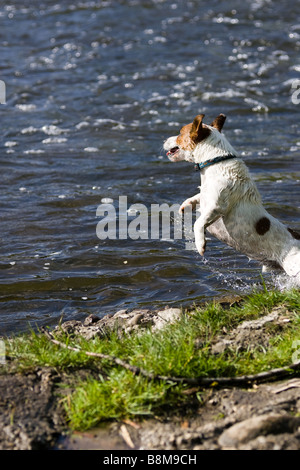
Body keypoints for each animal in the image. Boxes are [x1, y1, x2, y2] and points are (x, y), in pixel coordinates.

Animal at [164, 113, 300, 280]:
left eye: (180, 133)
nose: (164, 140)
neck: (215, 161)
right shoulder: (206, 197)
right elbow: (197, 196)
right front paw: (186, 205)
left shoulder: (216, 207)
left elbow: (198, 223)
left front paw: (200, 244)